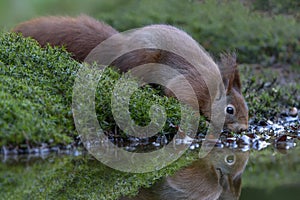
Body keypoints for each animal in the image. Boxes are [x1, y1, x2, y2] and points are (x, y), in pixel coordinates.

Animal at [13, 14, 248, 133]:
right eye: (230, 110)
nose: (244, 128)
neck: (212, 89)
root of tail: (122, 45)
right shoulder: (190, 85)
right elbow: (178, 96)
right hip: (144, 58)